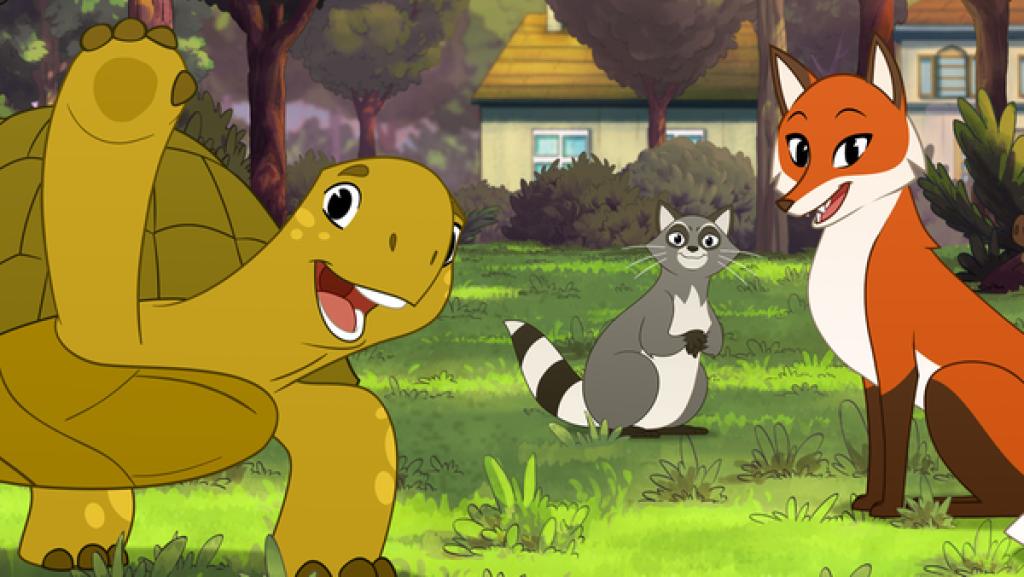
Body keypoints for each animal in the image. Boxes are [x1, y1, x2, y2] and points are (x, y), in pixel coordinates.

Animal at [770, 36, 1024, 532]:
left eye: (852, 148)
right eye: (798, 148)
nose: (785, 202)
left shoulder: (897, 367)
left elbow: (896, 446)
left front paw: (888, 508)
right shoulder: (871, 374)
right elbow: (879, 448)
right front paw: (868, 502)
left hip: (948, 384)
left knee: (1013, 498)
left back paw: (950, 506)